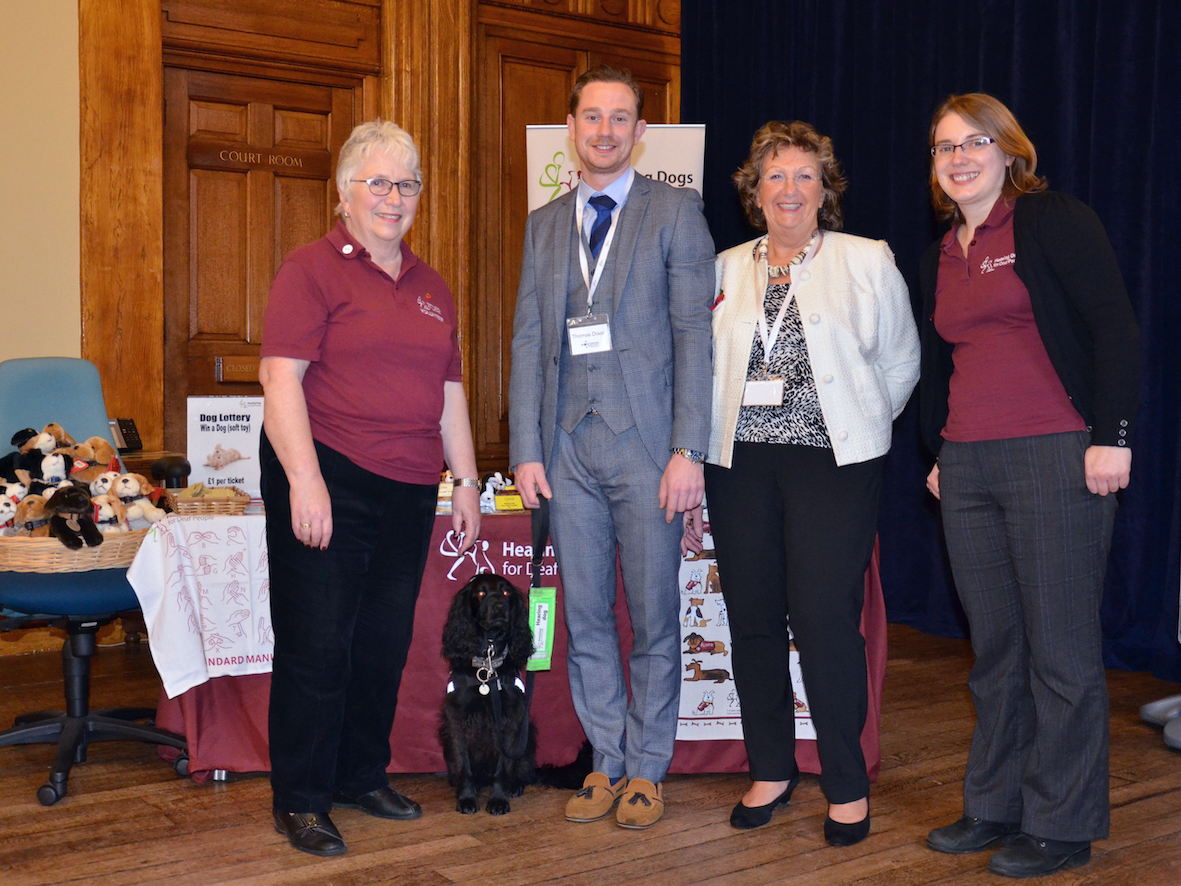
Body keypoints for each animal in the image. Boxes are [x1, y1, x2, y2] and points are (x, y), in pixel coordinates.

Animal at [441, 571, 538, 817]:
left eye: (506, 592)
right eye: (481, 593)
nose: (499, 607)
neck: (488, 663)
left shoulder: (510, 719)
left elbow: (503, 767)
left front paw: (498, 800)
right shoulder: (457, 719)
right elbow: (463, 764)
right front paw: (466, 798)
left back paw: (515, 785)